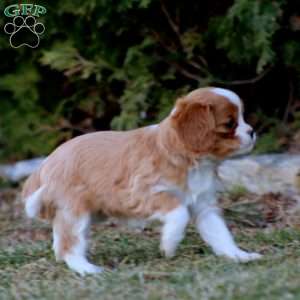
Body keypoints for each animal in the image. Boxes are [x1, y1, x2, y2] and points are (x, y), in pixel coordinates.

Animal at [22, 86, 262, 274]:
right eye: (229, 124)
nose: (252, 131)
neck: (194, 162)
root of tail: (46, 162)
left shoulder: (204, 206)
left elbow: (220, 234)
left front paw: (238, 255)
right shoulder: (142, 193)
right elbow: (179, 213)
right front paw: (169, 244)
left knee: (60, 240)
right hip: (75, 210)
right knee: (69, 243)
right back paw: (87, 268)